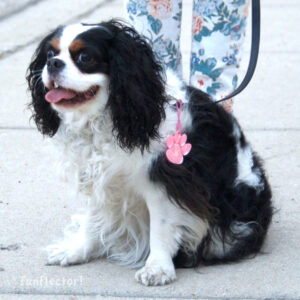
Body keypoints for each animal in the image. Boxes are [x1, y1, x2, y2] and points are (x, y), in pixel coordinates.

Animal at [27, 18, 274, 286]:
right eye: (50, 54)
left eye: (84, 57)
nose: (53, 64)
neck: (106, 118)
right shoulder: (99, 177)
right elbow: (93, 219)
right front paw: (77, 250)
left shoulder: (164, 181)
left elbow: (161, 228)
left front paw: (157, 267)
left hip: (231, 226)